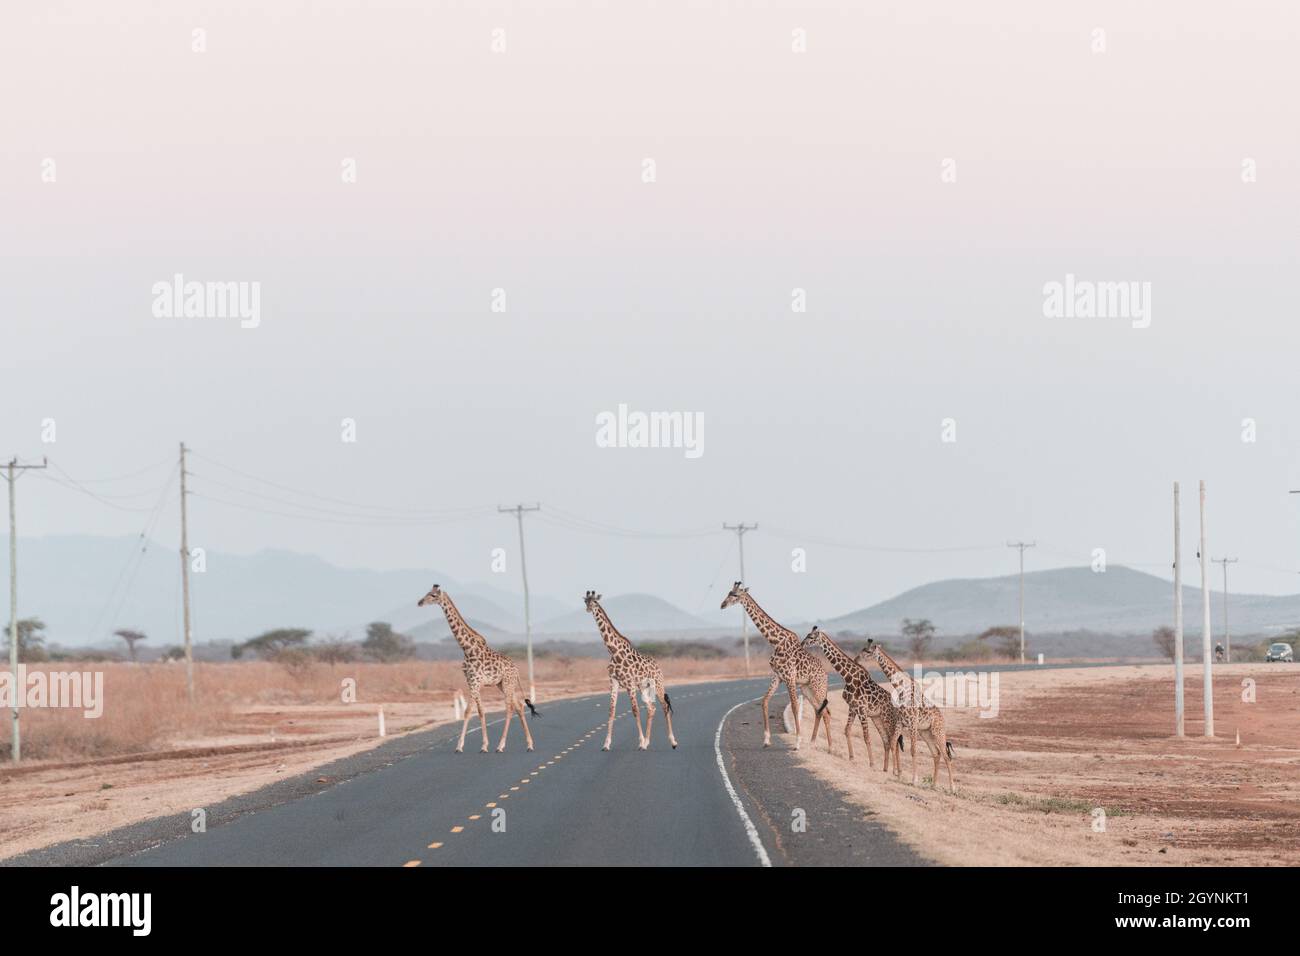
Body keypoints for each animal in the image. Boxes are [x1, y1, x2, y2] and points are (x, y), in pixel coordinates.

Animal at [416, 582, 538, 754]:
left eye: (433, 595)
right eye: (427, 593)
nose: (419, 602)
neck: (467, 649)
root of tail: (517, 670)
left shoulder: (475, 682)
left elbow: (469, 711)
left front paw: (461, 746)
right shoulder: (471, 682)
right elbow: (479, 711)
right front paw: (483, 745)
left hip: (508, 684)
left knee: (509, 709)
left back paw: (501, 746)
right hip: (503, 685)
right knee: (519, 706)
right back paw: (529, 744)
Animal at [582, 590, 676, 754]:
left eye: (594, 602)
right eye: (585, 601)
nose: (588, 609)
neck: (613, 651)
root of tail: (659, 666)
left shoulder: (629, 683)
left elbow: (635, 710)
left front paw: (640, 741)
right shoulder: (613, 682)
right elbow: (611, 711)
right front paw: (606, 744)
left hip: (657, 685)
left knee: (664, 706)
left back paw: (672, 741)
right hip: (643, 687)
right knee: (651, 708)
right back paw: (647, 742)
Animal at [722, 580, 832, 749]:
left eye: (735, 595)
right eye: (728, 593)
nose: (722, 605)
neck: (776, 642)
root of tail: (825, 674)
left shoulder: (789, 677)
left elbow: (794, 706)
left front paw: (797, 742)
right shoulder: (777, 676)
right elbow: (764, 701)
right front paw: (767, 739)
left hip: (817, 687)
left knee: (825, 712)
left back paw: (830, 746)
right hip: (806, 688)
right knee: (819, 711)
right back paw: (816, 743)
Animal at [800, 629, 904, 780]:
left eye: (811, 637)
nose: (802, 644)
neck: (848, 677)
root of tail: (897, 706)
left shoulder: (861, 709)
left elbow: (866, 737)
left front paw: (872, 763)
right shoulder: (853, 708)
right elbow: (847, 730)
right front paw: (851, 757)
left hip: (888, 718)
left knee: (894, 741)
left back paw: (897, 771)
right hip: (877, 718)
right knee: (886, 740)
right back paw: (886, 769)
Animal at [863, 639, 956, 790]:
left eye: (868, 651)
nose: (859, 657)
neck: (901, 688)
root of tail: (942, 718)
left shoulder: (912, 724)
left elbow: (913, 750)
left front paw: (914, 780)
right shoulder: (901, 722)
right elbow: (893, 743)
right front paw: (897, 773)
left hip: (938, 731)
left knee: (946, 756)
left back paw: (952, 788)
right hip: (926, 733)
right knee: (936, 754)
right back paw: (933, 785)